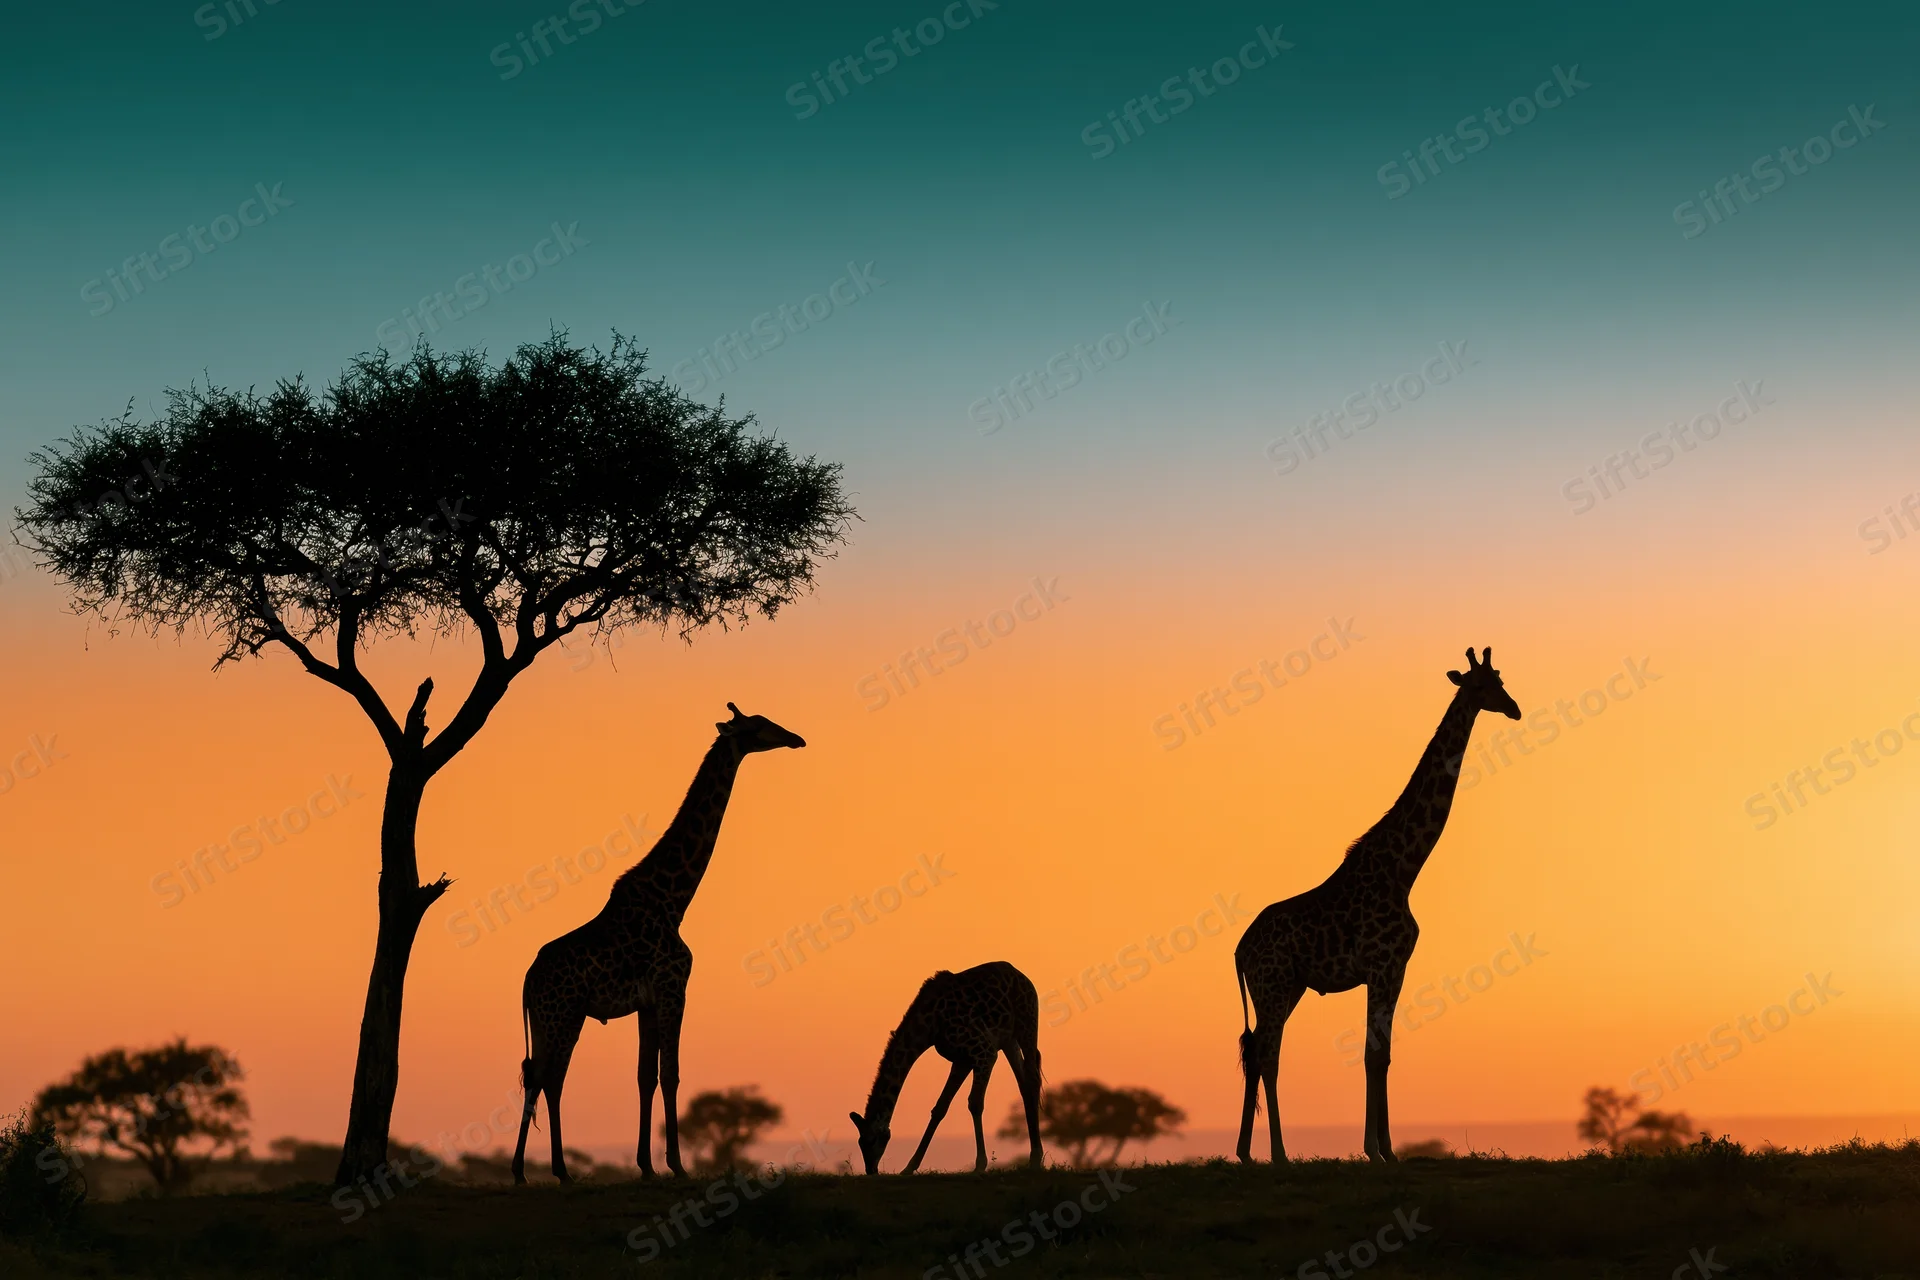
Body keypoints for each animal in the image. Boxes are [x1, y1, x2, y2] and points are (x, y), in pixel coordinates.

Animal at [510, 703, 805, 1184]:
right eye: (760, 725)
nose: (796, 738)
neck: (674, 899)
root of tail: (527, 981)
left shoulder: (647, 1001)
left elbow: (645, 1076)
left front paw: (647, 1165)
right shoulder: (673, 988)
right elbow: (671, 1074)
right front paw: (677, 1165)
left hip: (546, 1017)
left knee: (541, 1077)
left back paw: (536, 1169)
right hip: (563, 1014)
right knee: (548, 1077)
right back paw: (543, 1170)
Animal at [849, 961, 1046, 1174]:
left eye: (873, 1140)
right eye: (860, 1142)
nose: (871, 1170)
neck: (928, 1027)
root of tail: (1021, 976)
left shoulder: (984, 1051)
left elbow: (975, 1103)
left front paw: (980, 1165)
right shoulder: (962, 1059)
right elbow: (940, 1108)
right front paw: (909, 1167)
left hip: (1027, 1025)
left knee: (1032, 1079)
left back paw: (1036, 1159)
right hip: (1008, 1040)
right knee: (1025, 1084)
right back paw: (1035, 1158)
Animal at [1234, 647, 1520, 1165]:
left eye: (1502, 680)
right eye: (1482, 686)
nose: (1515, 709)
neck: (1402, 869)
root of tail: (1239, 951)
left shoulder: (1393, 969)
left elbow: (1381, 1053)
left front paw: (1384, 1149)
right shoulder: (1385, 965)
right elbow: (1374, 1054)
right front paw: (1377, 1150)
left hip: (1287, 988)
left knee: (1257, 1051)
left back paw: (1247, 1153)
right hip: (1274, 984)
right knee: (1267, 1052)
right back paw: (1278, 1154)